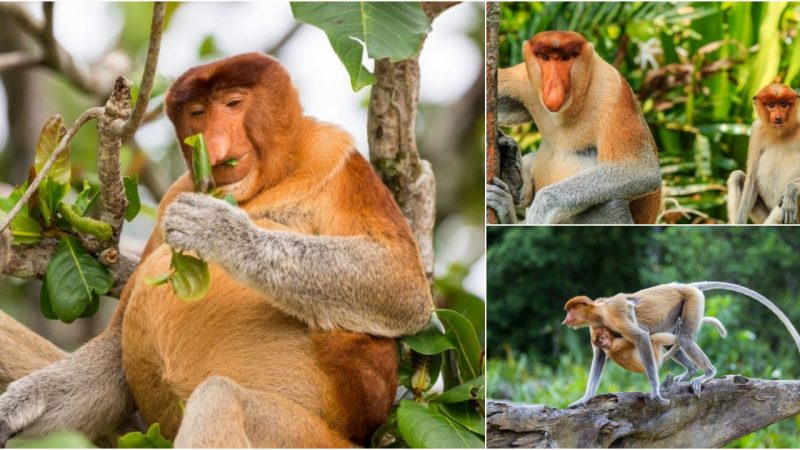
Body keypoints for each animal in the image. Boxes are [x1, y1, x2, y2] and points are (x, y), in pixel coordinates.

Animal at [0, 51, 434, 446]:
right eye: (197, 112)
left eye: (233, 104)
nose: (214, 143)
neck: (265, 181)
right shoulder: (173, 195)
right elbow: (114, 354)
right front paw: (15, 409)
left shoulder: (335, 158)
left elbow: (401, 284)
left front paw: (215, 228)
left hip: (306, 436)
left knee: (222, 397)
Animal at [484, 30, 660, 224]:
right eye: (545, 58)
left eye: (566, 58)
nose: (553, 88)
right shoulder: (523, 76)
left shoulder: (612, 90)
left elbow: (643, 171)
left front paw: (540, 210)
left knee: (614, 204)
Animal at [592, 314, 728, 374]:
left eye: (602, 339)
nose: (604, 344)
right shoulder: (618, 343)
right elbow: (643, 338)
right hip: (656, 354)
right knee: (655, 338)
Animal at [724, 82, 800, 223]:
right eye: (771, 105)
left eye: (783, 104)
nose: (777, 117)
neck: (781, 133)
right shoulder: (756, 130)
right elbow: (751, 180)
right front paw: (739, 222)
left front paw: (791, 191)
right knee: (737, 176)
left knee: (781, 208)